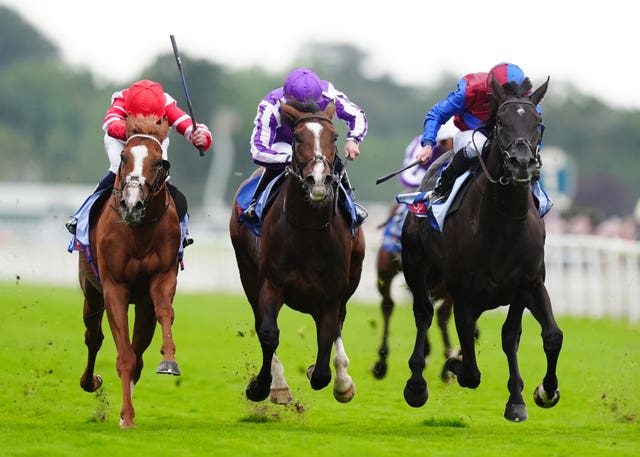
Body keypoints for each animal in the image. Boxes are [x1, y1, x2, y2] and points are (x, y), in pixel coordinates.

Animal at [79, 114, 182, 428]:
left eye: (161, 163)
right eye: (124, 157)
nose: (132, 204)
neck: (138, 230)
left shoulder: (160, 281)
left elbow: (165, 313)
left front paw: (169, 361)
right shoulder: (114, 288)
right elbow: (123, 354)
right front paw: (126, 417)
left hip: (142, 305)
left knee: (138, 351)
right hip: (91, 290)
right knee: (93, 337)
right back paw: (90, 381)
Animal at [229, 99, 364, 402]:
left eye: (334, 137)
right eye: (298, 137)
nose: (319, 180)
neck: (308, 232)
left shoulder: (332, 294)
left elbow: (326, 345)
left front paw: (334, 378)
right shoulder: (271, 283)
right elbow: (268, 333)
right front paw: (263, 386)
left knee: (339, 323)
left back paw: (343, 379)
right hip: (246, 272)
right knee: (259, 318)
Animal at [402, 75, 564, 420]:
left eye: (538, 122)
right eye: (501, 121)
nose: (521, 163)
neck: (502, 225)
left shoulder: (529, 284)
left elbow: (540, 336)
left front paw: (536, 393)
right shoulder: (464, 294)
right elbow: (471, 372)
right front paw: (454, 363)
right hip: (416, 266)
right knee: (423, 313)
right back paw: (417, 384)